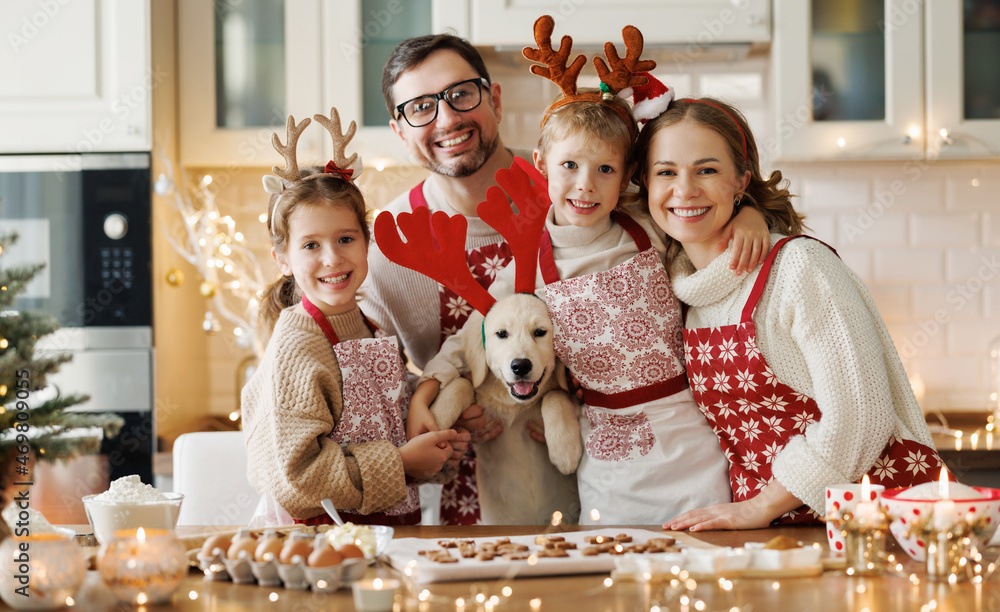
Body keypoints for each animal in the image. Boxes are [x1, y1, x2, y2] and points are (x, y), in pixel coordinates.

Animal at [432, 294, 584, 524]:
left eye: (540, 332)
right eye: (502, 334)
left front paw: (565, 451)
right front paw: (434, 423)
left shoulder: (577, 396)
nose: (520, 366)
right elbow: (463, 383)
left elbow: (554, 395)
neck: (516, 406)